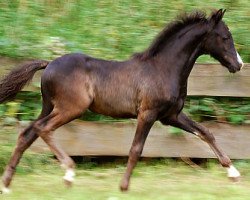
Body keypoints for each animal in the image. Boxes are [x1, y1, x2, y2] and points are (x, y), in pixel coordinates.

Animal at [0, 8, 243, 193]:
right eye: (225, 37)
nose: (238, 64)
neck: (163, 69)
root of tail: (49, 63)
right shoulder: (147, 114)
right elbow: (136, 149)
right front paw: (123, 186)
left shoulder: (171, 115)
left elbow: (206, 133)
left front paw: (233, 173)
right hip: (71, 109)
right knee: (43, 128)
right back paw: (68, 173)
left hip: (49, 106)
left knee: (27, 133)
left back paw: (7, 185)